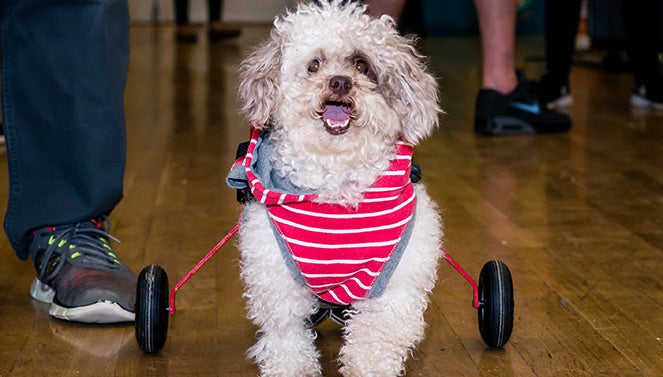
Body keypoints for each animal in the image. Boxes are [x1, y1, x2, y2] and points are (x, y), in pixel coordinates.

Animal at [231, 1, 444, 374]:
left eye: (361, 64)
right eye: (314, 64)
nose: (340, 82)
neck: (336, 181)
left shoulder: (392, 286)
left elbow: (374, 343)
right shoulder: (278, 282)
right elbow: (287, 337)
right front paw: (291, 368)